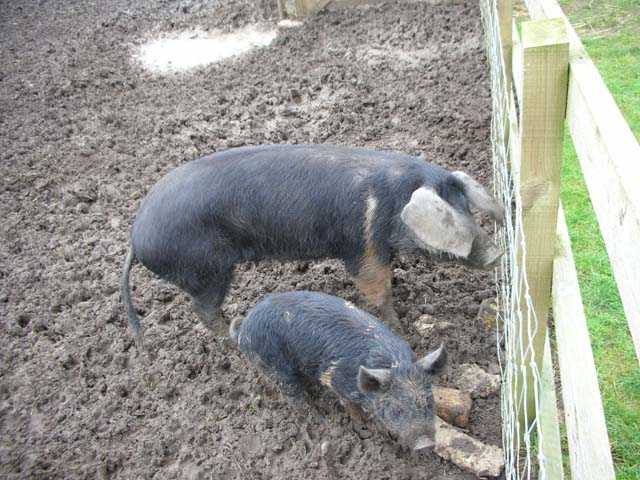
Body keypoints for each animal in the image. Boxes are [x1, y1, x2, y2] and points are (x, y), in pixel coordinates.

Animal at [119, 143, 500, 344]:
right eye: (451, 216)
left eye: (467, 207)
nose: (497, 254)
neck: (389, 205)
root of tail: (136, 234)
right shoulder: (362, 247)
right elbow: (376, 288)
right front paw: (400, 330)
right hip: (206, 270)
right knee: (202, 310)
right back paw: (232, 334)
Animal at [232, 290, 448, 452]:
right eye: (395, 410)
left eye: (429, 402)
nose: (425, 445)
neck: (394, 362)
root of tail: (243, 329)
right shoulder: (338, 382)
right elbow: (351, 408)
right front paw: (364, 429)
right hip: (276, 364)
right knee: (293, 397)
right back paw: (321, 420)